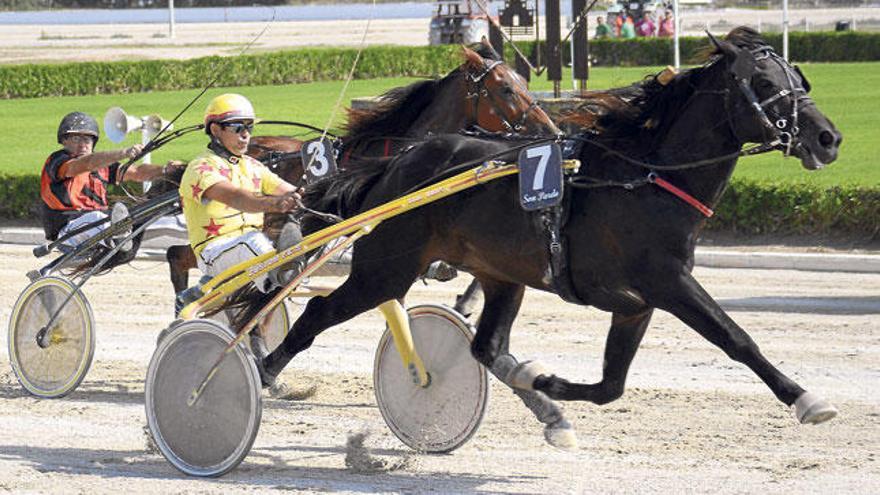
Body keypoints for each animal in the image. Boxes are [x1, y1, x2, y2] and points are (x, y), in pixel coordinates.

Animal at [258, 28, 844, 450]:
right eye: (764, 84)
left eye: (800, 79)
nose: (828, 137)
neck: (645, 178)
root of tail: (398, 164)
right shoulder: (668, 282)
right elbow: (735, 338)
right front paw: (805, 398)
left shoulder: (638, 301)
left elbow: (611, 385)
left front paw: (544, 384)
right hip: (386, 269)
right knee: (315, 314)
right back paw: (262, 373)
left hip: (499, 275)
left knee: (486, 347)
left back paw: (545, 406)